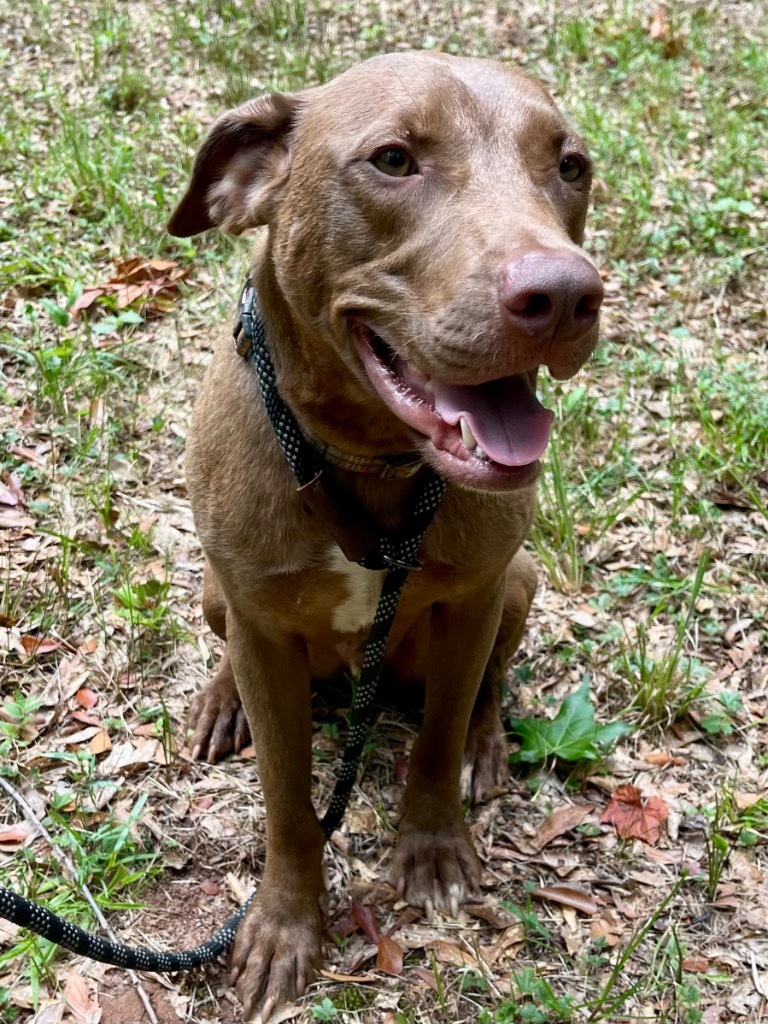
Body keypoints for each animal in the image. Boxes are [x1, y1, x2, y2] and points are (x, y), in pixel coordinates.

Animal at [166, 49, 602, 1024]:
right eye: (394, 160)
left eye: (571, 167)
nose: (566, 295)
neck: (365, 460)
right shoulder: (259, 621)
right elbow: (290, 803)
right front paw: (287, 925)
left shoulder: (475, 594)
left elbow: (435, 738)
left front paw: (434, 846)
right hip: (219, 591)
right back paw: (222, 702)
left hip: (517, 583)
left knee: (485, 684)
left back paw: (487, 741)